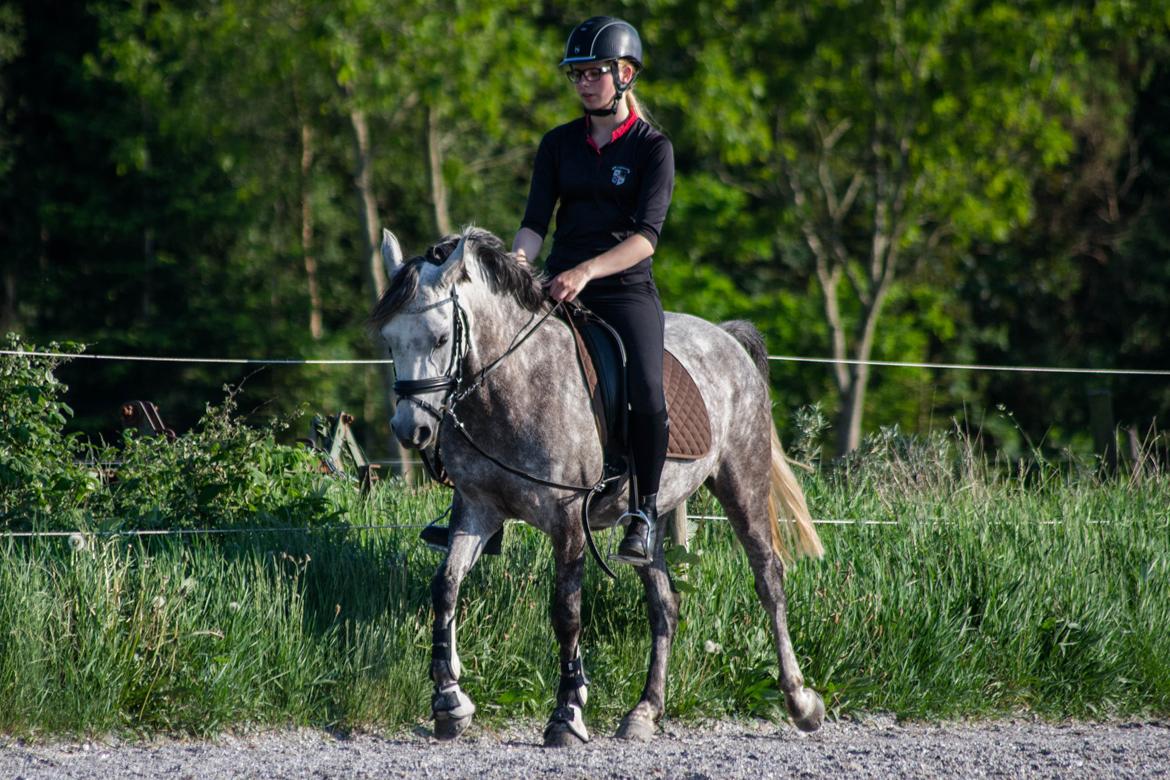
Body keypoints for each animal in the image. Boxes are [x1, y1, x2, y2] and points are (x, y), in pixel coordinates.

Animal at [369, 224, 828, 743]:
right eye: (389, 341)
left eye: (441, 337)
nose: (411, 431)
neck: (513, 383)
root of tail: (725, 337)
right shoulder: (477, 507)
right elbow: (445, 587)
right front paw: (450, 701)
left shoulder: (568, 518)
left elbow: (566, 612)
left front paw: (567, 713)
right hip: (653, 516)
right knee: (664, 604)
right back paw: (645, 710)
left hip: (742, 482)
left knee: (769, 579)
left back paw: (800, 701)